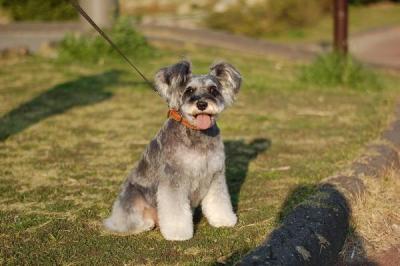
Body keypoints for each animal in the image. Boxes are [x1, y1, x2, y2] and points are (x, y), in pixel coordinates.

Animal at [104, 60, 241, 241]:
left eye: (213, 89)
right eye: (189, 90)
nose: (202, 104)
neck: (197, 133)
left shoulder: (215, 175)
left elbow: (219, 201)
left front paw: (224, 220)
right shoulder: (174, 179)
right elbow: (175, 210)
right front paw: (178, 233)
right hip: (133, 198)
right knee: (124, 222)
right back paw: (143, 224)